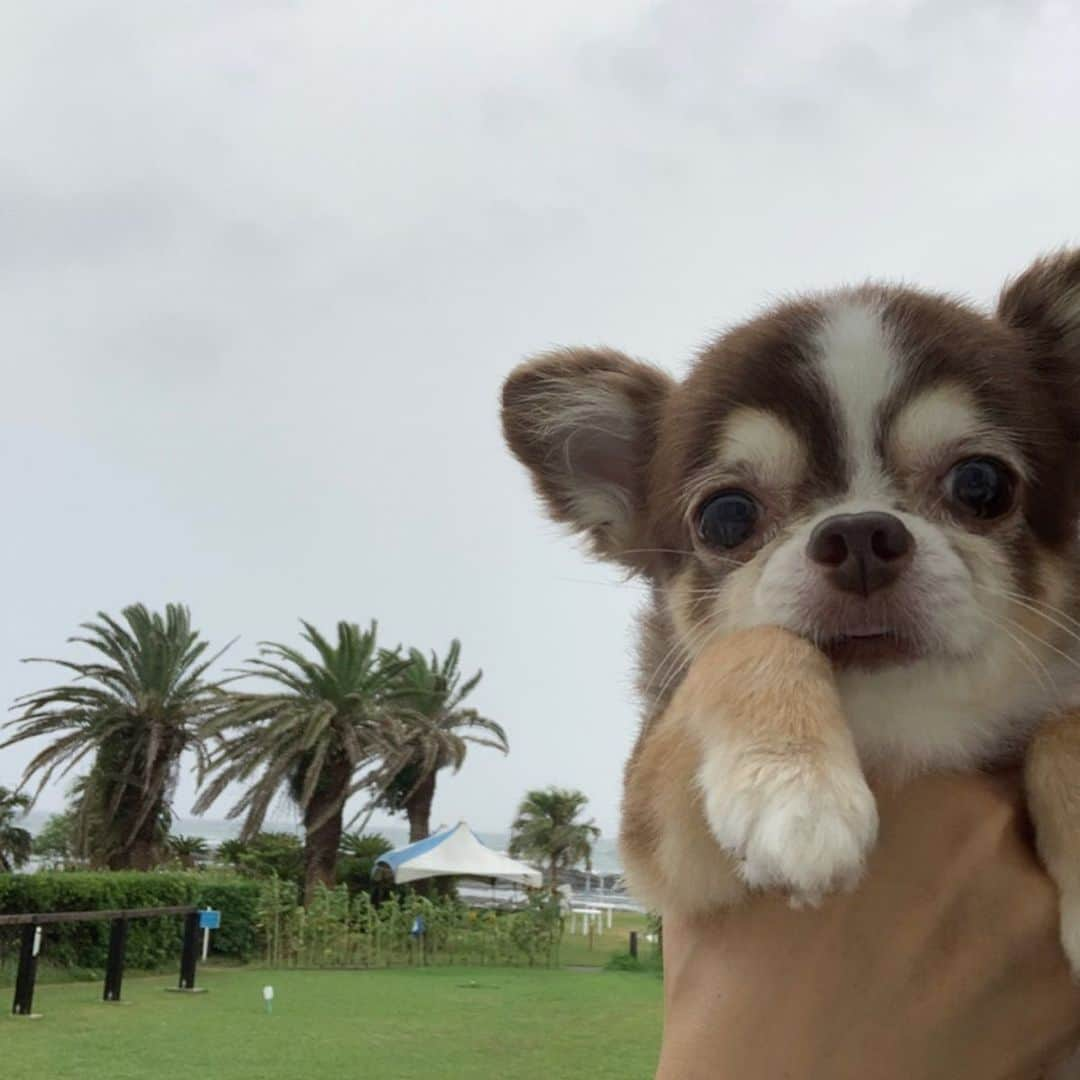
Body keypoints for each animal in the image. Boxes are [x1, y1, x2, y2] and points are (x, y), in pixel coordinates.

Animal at [501, 252, 1080, 1010]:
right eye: (726, 517)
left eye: (982, 484)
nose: (860, 535)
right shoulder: (662, 842)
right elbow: (750, 644)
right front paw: (797, 792)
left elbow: (1064, 723)